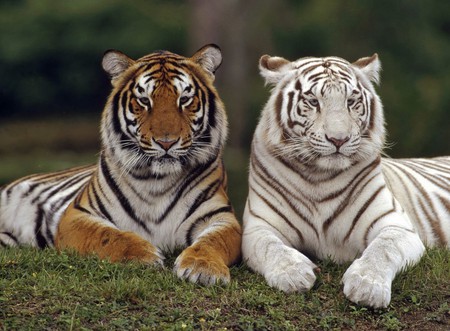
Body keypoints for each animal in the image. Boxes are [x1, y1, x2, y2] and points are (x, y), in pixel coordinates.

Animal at [243, 52, 450, 308]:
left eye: (351, 101)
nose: (338, 139)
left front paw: (367, 286)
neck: (318, 177)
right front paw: (293, 273)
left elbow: (383, 249)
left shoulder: (396, 225)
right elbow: (270, 247)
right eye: (313, 102)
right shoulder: (258, 227)